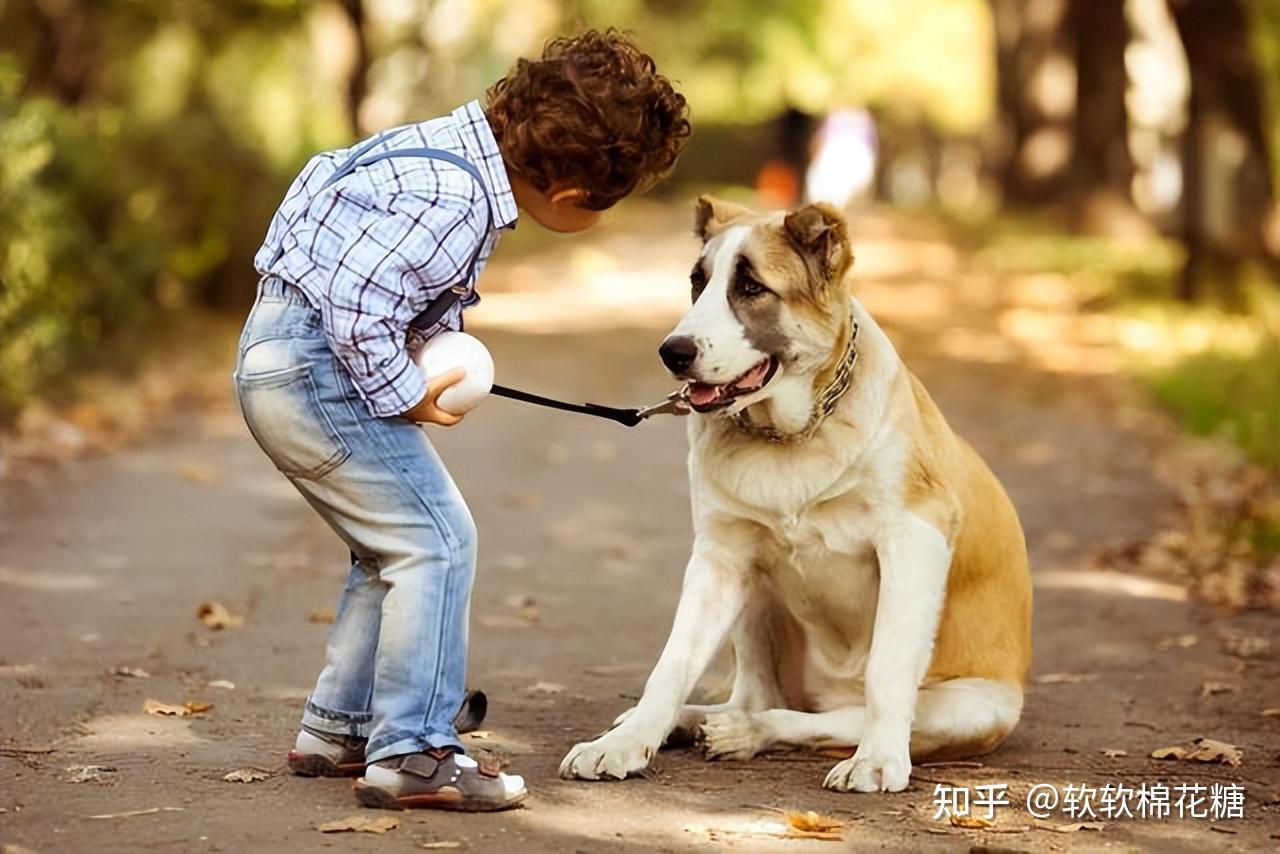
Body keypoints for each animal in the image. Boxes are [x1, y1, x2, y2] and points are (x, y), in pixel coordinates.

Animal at [560, 197, 1029, 793]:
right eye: (697, 282)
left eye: (752, 287)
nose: (673, 352)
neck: (793, 435)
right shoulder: (720, 558)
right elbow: (672, 662)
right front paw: (625, 743)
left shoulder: (915, 537)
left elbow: (887, 669)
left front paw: (878, 758)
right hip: (754, 588)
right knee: (759, 693)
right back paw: (696, 722)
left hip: (970, 709)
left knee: (823, 717)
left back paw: (749, 733)